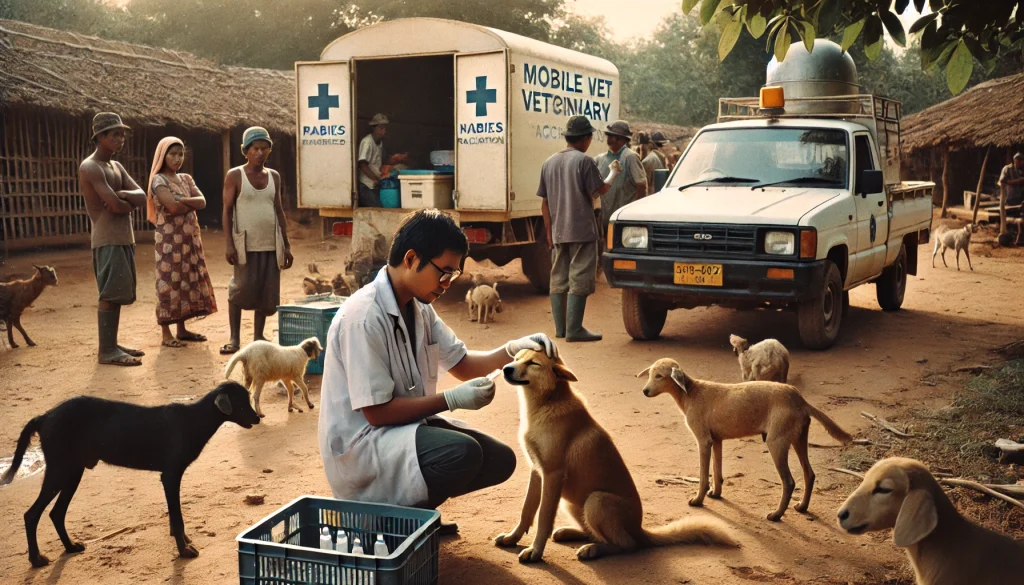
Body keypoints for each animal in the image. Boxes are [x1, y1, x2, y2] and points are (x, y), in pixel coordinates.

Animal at [0, 383, 260, 565]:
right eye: (242, 403)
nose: (259, 418)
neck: (194, 419)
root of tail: (44, 416)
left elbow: (176, 517)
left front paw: (184, 542)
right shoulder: (170, 475)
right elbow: (177, 517)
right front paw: (184, 550)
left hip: (73, 471)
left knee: (56, 513)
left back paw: (70, 547)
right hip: (59, 470)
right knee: (32, 514)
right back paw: (36, 559)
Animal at [493, 350, 737, 565]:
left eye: (533, 363)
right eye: (516, 358)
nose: (506, 369)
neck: (546, 403)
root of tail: (640, 530)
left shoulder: (552, 475)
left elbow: (543, 517)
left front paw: (535, 551)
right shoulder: (537, 471)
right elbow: (526, 510)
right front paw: (513, 538)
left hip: (596, 501)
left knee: (627, 545)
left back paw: (594, 549)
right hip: (572, 502)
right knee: (594, 533)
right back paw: (572, 534)